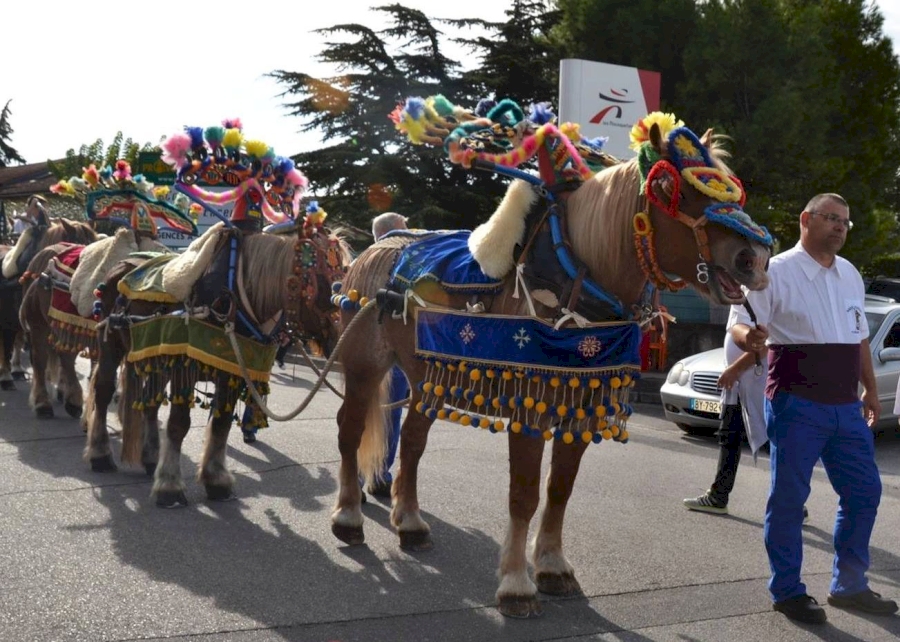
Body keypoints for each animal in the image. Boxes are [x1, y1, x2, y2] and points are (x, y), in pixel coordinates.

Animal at [85, 225, 352, 504]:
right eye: (324, 282)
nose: (344, 340)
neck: (233, 298)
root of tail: (122, 265)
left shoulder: (231, 371)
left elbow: (221, 425)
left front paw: (216, 479)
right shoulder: (184, 369)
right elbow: (179, 424)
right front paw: (170, 485)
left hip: (156, 359)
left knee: (149, 403)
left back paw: (150, 458)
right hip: (111, 344)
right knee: (103, 391)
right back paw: (100, 454)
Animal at [330, 102, 772, 616]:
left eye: (732, 184)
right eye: (668, 187)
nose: (754, 257)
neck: (575, 275)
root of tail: (378, 248)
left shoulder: (579, 406)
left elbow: (559, 490)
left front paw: (553, 566)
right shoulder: (531, 407)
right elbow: (523, 494)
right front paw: (516, 583)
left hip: (427, 379)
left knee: (414, 443)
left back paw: (411, 522)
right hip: (364, 364)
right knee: (350, 431)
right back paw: (348, 518)